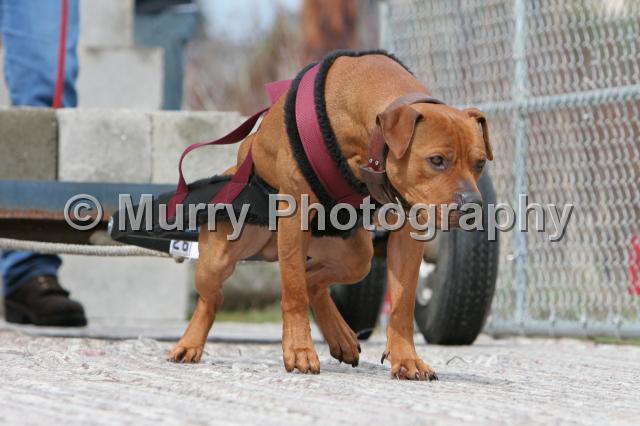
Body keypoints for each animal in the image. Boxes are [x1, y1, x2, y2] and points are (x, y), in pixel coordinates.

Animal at [167, 51, 492, 380]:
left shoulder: (409, 230)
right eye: (436, 160)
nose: (474, 205)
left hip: (355, 253)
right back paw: (189, 344)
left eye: (479, 164)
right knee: (214, 298)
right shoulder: (295, 214)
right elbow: (294, 293)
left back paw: (341, 336)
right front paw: (299, 350)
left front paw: (407, 359)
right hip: (219, 259)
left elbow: (403, 304)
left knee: (314, 279)